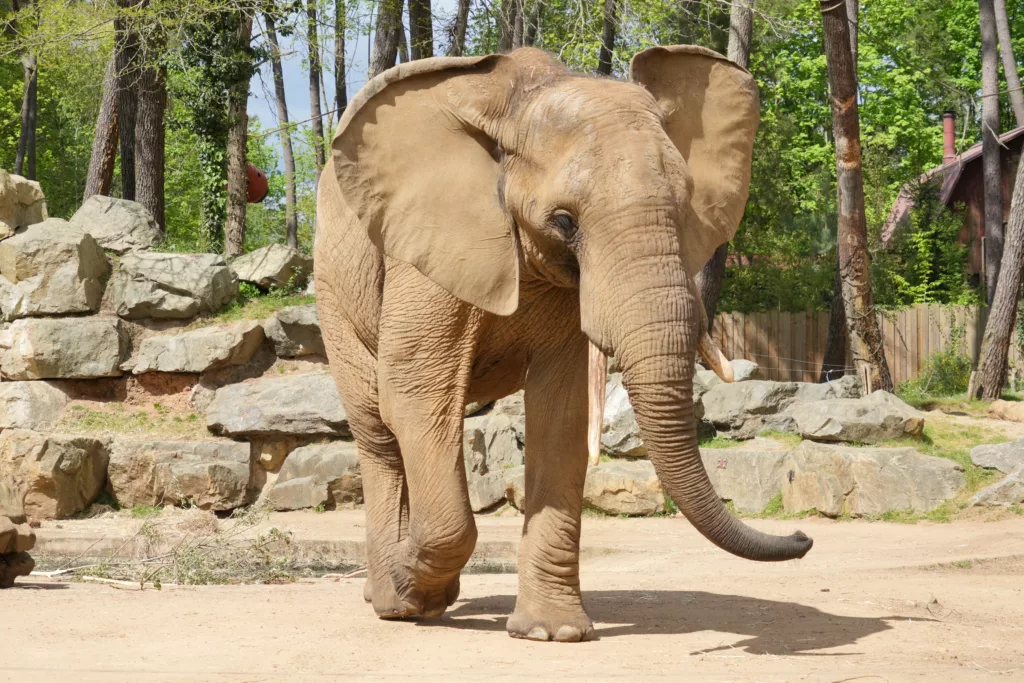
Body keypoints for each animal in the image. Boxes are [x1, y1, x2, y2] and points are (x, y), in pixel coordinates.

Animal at [315, 42, 811, 643]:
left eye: (685, 208)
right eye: (563, 221)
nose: (801, 539)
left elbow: (564, 411)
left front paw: (552, 634)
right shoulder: (430, 246)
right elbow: (416, 393)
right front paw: (410, 588)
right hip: (335, 290)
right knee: (379, 430)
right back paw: (391, 598)